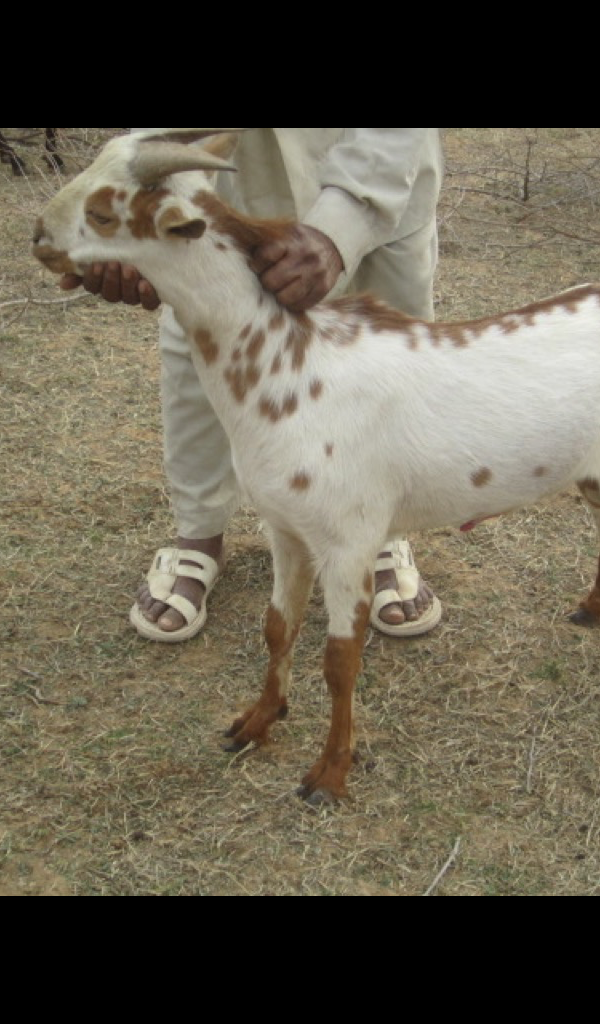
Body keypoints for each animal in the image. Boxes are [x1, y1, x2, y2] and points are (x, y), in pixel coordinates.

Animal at [33, 128, 600, 805]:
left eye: (102, 212)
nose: (37, 235)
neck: (290, 370)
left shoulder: (348, 540)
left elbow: (340, 661)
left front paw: (329, 773)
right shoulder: (285, 527)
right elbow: (278, 626)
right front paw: (256, 723)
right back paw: (592, 610)